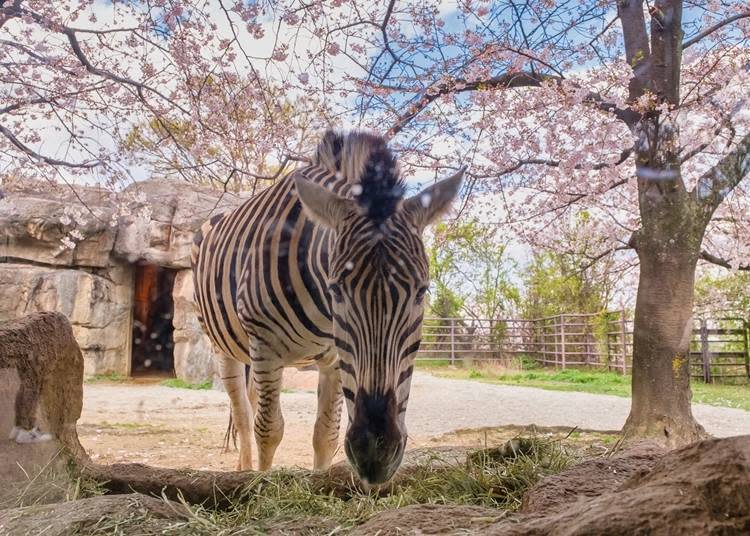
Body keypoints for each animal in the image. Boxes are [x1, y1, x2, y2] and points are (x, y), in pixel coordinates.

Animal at [192, 131, 464, 486]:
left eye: (422, 292)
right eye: (336, 290)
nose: (375, 455)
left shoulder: (334, 358)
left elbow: (326, 434)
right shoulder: (265, 346)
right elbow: (268, 429)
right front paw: (261, 487)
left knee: (251, 403)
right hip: (225, 347)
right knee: (242, 413)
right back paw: (247, 472)